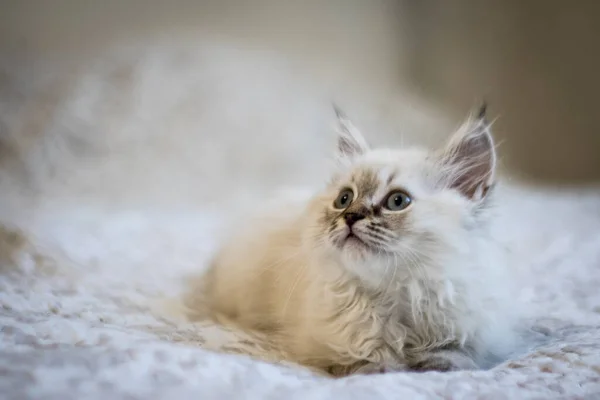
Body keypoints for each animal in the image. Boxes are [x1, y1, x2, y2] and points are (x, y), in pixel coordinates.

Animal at [190, 105, 516, 376]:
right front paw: (384, 368)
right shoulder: (324, 343)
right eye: (344, 199)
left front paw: (435, 366)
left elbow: (456, 356)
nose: (351, 216)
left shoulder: (477, 331)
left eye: (397, 201)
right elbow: (366, 359)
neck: (395, 295)